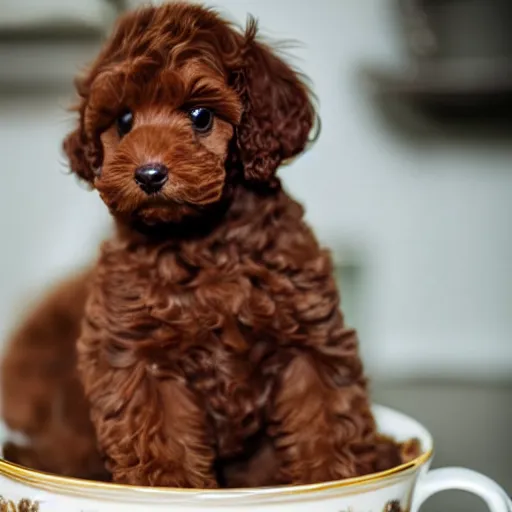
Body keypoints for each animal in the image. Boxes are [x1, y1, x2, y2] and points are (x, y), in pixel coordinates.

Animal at [2, 2, 418, 486]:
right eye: (123, 121)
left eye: (201, 116)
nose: (148, 174)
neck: (204, 239)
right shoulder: (140, 357)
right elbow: (162, 443)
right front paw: (170, 489)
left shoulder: (309, 340)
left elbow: (326, 420)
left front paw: (334, 479)